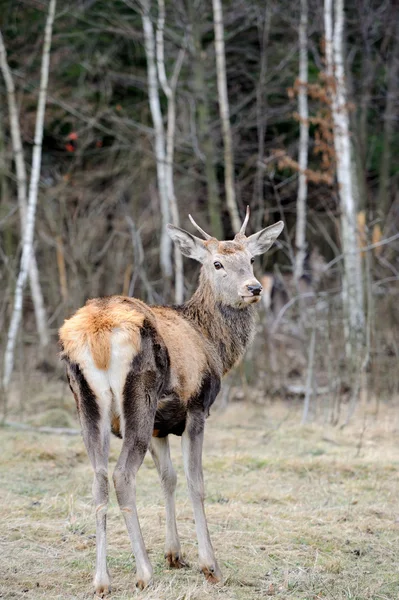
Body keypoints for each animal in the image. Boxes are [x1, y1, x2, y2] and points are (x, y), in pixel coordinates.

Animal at [58, 207, 284, 596]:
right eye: (217, 263)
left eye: (251, 258)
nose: (253, 288)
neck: (212, 342)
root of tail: (97, 332)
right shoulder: (196, 407)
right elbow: (196, 481)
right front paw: (210, 565)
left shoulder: (160, 427)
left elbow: (168, 478)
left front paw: (175, 555)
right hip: (139, 395)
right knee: (122, 476)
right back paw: (143, 573)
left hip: (87, 403)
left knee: (98, 477)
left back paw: (101, 581)